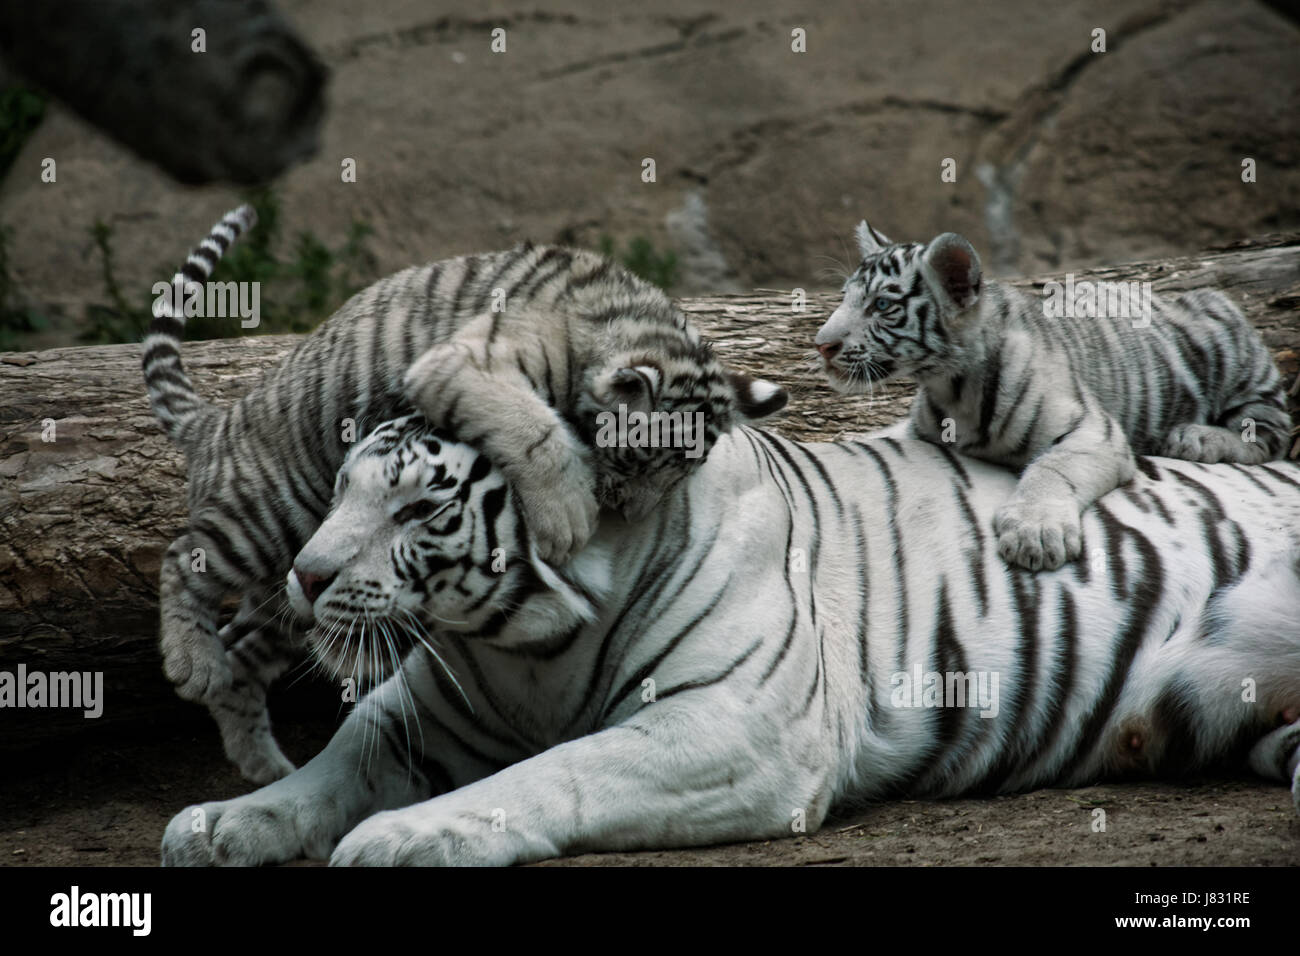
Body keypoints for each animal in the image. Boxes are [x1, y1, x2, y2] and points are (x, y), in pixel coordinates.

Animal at [159, 416, 1300, 863]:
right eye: (343, 488)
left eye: (413, 509)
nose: (305, 576)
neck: (522, 647)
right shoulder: (433, 707)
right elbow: (336, 758)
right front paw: (223, 823)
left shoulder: (744, 727)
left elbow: (564, 768)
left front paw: (413, 833)